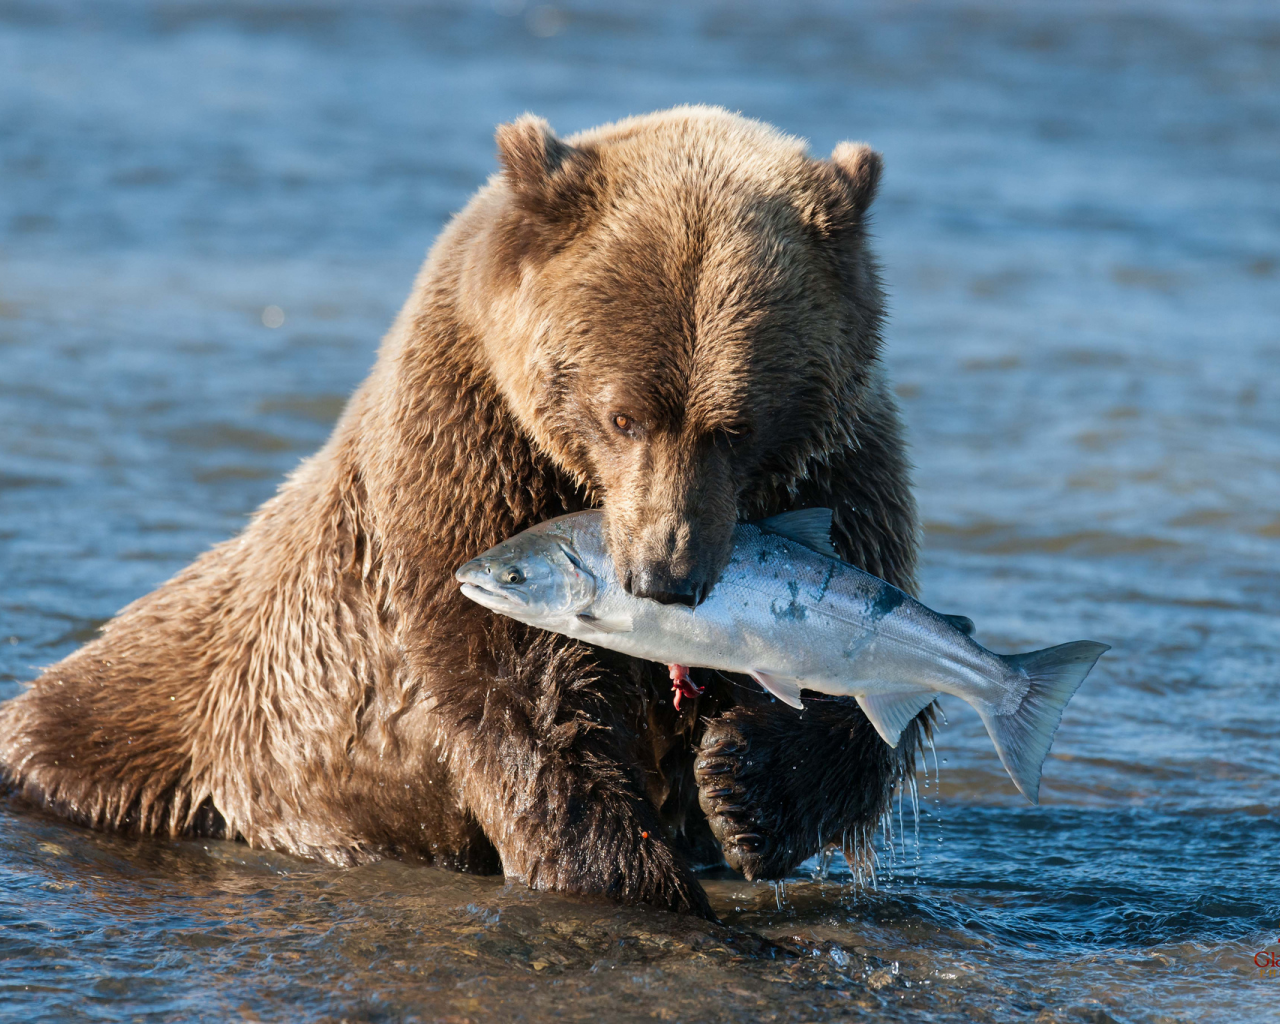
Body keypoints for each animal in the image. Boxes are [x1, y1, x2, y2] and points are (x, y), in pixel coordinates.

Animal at [0, 108, 921, 916]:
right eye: (623, 414)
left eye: (737, 426)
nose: (666, 574)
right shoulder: (468, 451)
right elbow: (522, 693)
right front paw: (633, 878)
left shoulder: (840, 468)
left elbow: (868, 670)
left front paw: (743, 789)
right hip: (174, 706)